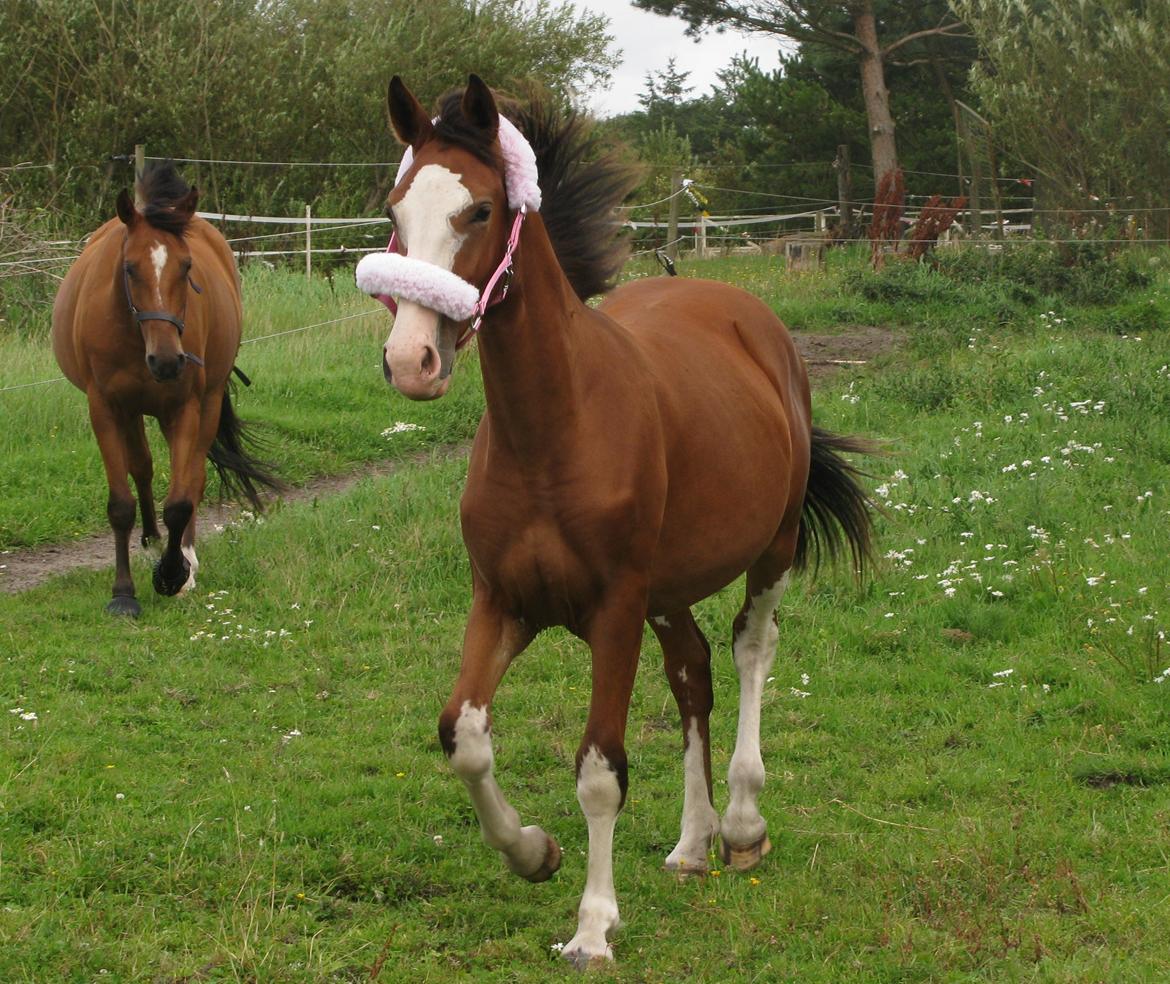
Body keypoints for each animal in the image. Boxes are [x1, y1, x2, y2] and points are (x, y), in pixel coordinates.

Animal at [53, 161, 279, 613]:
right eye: (129, 268)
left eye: (187, 268)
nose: (168, 361)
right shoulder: (106, 408)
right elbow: (121, 503)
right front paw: (123, 594)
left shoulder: (185, 407)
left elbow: (180, 499)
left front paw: (174, 573)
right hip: (134, 410)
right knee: (141, 467)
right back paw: (151, 537)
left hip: (204, 404)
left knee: (193, 478)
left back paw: (184, 556)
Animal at [355, 76, 879, 968]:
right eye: (395, 208)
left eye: (480, 210)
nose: (411, 361)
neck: (552, 435)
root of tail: (743, 314)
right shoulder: (503, 601)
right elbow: (463, 735)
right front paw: (534, 852)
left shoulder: (612, 611)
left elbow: (600, 769)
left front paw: (593, 926)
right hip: (668, 591)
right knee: (694, 673)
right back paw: (692, 846)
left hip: (765, 552)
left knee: (749, 649)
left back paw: (742, 825)